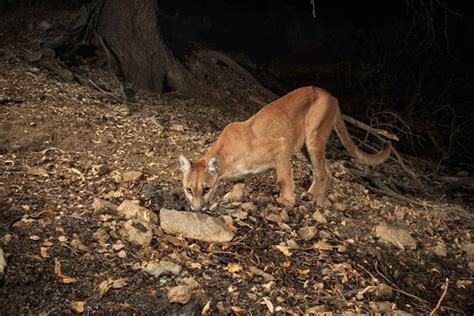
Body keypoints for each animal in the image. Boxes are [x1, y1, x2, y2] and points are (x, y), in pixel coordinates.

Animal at [180, 85, 390, 211]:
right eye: (189, 190)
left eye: (206, 189)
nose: (196, 209)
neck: (226, 158)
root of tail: (332, 96)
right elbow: (239, 182)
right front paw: (236, 196)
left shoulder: (281, 146)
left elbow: (283, 178)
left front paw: (287, 200)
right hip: (306, 145)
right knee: (327, 170)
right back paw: (319, 196)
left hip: (314, 138)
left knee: (321, 171)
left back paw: (312, 195)